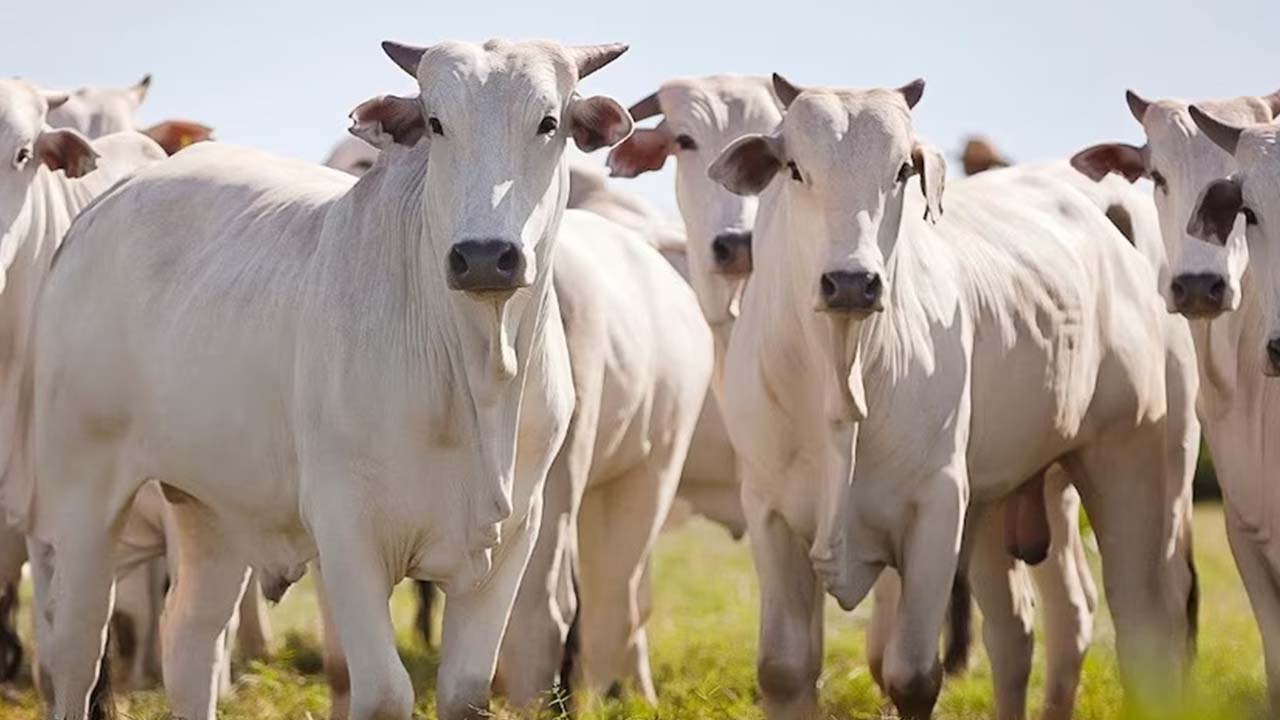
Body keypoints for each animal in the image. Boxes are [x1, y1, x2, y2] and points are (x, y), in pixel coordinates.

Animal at [14, 39, 634, 720]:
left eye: (549, 122)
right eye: (436, 123)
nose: (482, 256)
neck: (478, 371)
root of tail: (104, 204)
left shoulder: (511, 539)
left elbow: (467, 691)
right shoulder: (347, 532)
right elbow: (384, 692)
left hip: (210, 506)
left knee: (191, 640)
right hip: (81, 493)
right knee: (76, 646)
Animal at [705, 75, 1198, 719]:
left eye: (900, 171)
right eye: (794, 169)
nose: (851, 282)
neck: (841, 375)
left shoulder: (937, 508)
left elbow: (912, 676)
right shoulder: (770, 512)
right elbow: (785, 671)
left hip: (1136, 466)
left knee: (1143, 624)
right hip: (1008, 498)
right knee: (1029, 628)